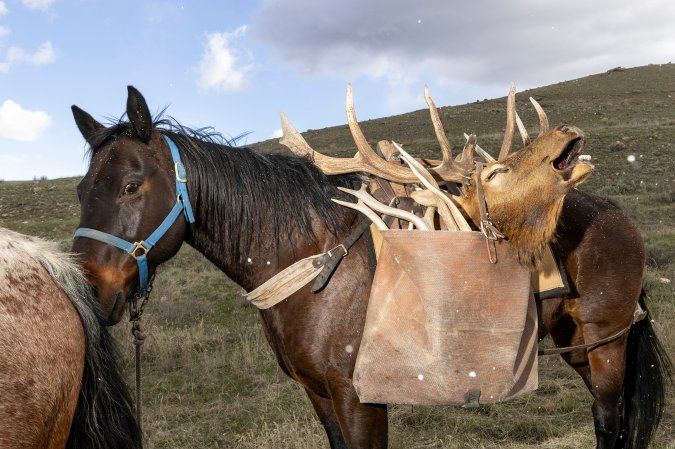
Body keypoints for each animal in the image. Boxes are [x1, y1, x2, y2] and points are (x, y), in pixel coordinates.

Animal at [71, 85, 668, 448]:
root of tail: (619, 213)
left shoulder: (360, 397)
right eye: (80, 190)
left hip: (608, 340)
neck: (315, 267)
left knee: (609, 420)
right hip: (576, 343)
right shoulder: (317, 392)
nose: (90, 292)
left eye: (131, 185)